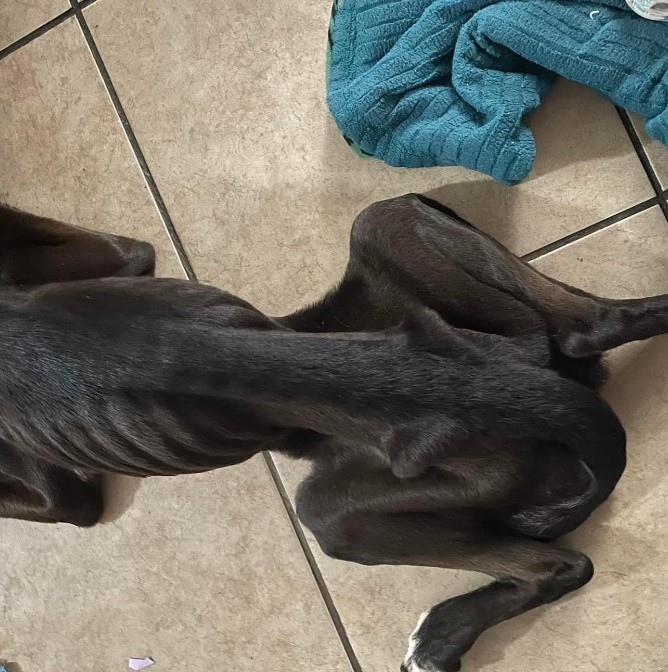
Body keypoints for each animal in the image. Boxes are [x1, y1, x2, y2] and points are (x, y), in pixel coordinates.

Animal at [0, 196, 664, 672]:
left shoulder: (66, 500)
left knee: (559, 566)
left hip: (338, 513)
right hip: (391, 223)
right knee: (593, 324)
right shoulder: (126, 258)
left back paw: (440, 638)